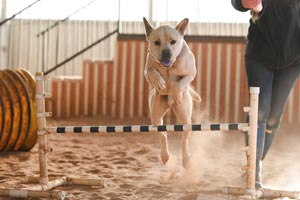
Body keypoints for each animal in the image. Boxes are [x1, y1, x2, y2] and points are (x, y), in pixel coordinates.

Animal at [144, 17, 202, 176]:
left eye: (173, 41)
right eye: (157, 42)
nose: (166, 53)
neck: (169, 66)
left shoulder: (190, 73)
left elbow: (180, 84)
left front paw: (176, 95)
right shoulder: (147, 68)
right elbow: (151, 71)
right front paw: (160, 83)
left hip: (186, 118)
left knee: (184, 140)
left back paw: (186, 160)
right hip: (156, 116)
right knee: (162, 134)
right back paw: (165, 157)